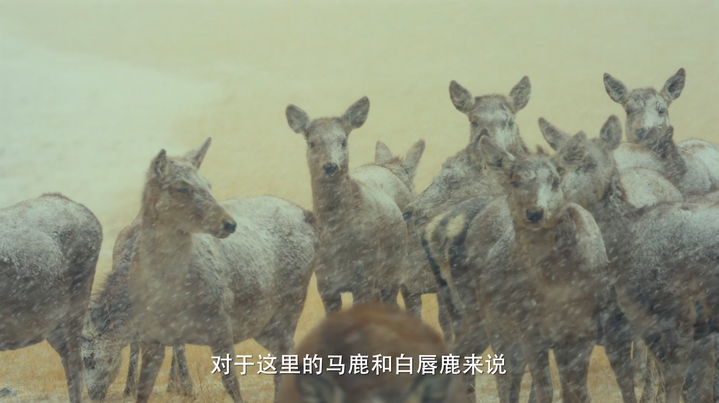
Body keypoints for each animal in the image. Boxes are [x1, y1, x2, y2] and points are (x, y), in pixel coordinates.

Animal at [127, 138, 318, 403]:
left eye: (208, 184)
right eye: (182, 187)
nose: (228, 223)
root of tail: (307, 215)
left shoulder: (220, 322)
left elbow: (232, 384)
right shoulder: (149, 333)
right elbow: (143, 390)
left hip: (290, 303)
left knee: (285, 358)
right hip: (262, 324)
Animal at [285, 97, 410, 313]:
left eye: (343, 140)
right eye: (312, 142)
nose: (330, 166)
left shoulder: (366, 276)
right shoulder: (325, 284)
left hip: (395, 268)